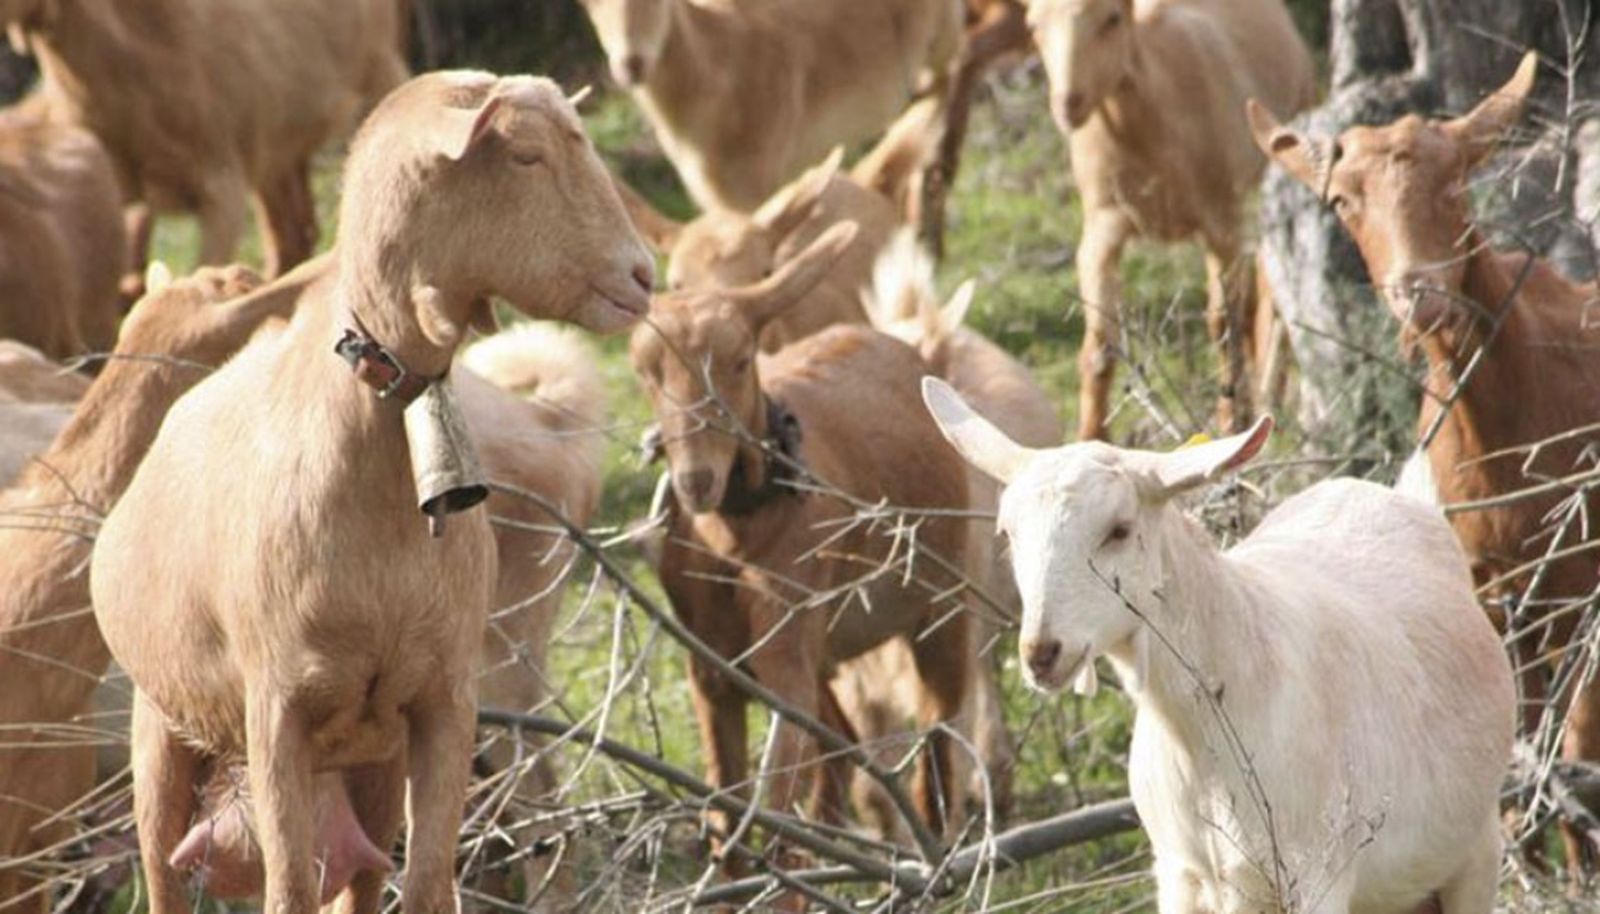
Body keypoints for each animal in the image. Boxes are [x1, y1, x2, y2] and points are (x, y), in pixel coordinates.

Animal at [88, 71, 652, 914]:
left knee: (359, 880)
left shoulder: (443, 702)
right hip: (162, 730)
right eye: (525, 155)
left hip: (367, 767)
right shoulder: (276, 711)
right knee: (165, 878)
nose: (643, 277)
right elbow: (286, 890)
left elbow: (427, 887)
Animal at [631, 223, 974, 881]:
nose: (696, 481)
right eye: (647, 373)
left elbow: (772, 811)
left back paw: (941, 858)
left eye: (740, 360)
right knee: (840, 750)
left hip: (939, 612)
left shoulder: (784, 647)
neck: (737, 534)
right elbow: (728, 813)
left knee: (935, 736)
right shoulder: (712, 664)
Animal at [926, 379, 1515, 914]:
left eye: (1119, 529)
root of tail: (1397, 495)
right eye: (1007, 533)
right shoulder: (1179, 873)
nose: (1041, 652)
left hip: (1475, 851)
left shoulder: (1317, 872)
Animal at [1026, 0, 1314, 439]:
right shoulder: (1102, 224)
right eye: (1034, 27)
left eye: (1112, 18)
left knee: (1269, 294)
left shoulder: (1221, 221)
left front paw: (1233, 420)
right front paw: (1090, 436)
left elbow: (1222, 323)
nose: (1068, 104)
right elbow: (1100, 341)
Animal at [1250, 51, 1600, 869]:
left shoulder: (1579, 575)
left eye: (1455, 182)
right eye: (1342, 201)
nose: (1422, 297)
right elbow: (1516, 741)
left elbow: (1575, 742)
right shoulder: (1488, 584)